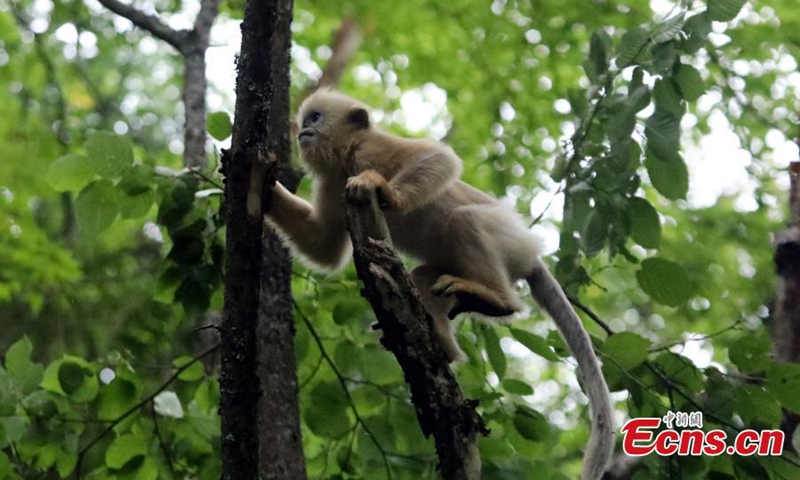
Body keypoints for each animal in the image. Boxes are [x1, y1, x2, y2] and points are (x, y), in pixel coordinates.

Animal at [264, 89, 613, 480]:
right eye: (305, 120)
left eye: (315, 118)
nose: (302, 133)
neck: (346, 158)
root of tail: (531, 253)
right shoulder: (331, 183)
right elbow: (323, 247)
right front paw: (259, 182)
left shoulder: (373, 150)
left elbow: (439, 159)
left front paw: (384, 191)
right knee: (424, 279)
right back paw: (446, 340)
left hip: (506, 240)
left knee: (466, 221)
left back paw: (497, 301)